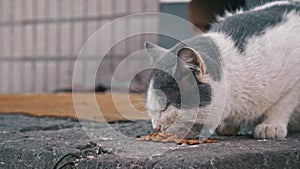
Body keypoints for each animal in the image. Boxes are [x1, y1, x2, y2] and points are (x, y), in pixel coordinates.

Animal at [144, 0, 298, 139]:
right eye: (151, 109)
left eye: (165, 107)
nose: (156, 127)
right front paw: (227, 126)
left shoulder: (295, 78)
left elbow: (284, 102)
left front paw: (271, 126)